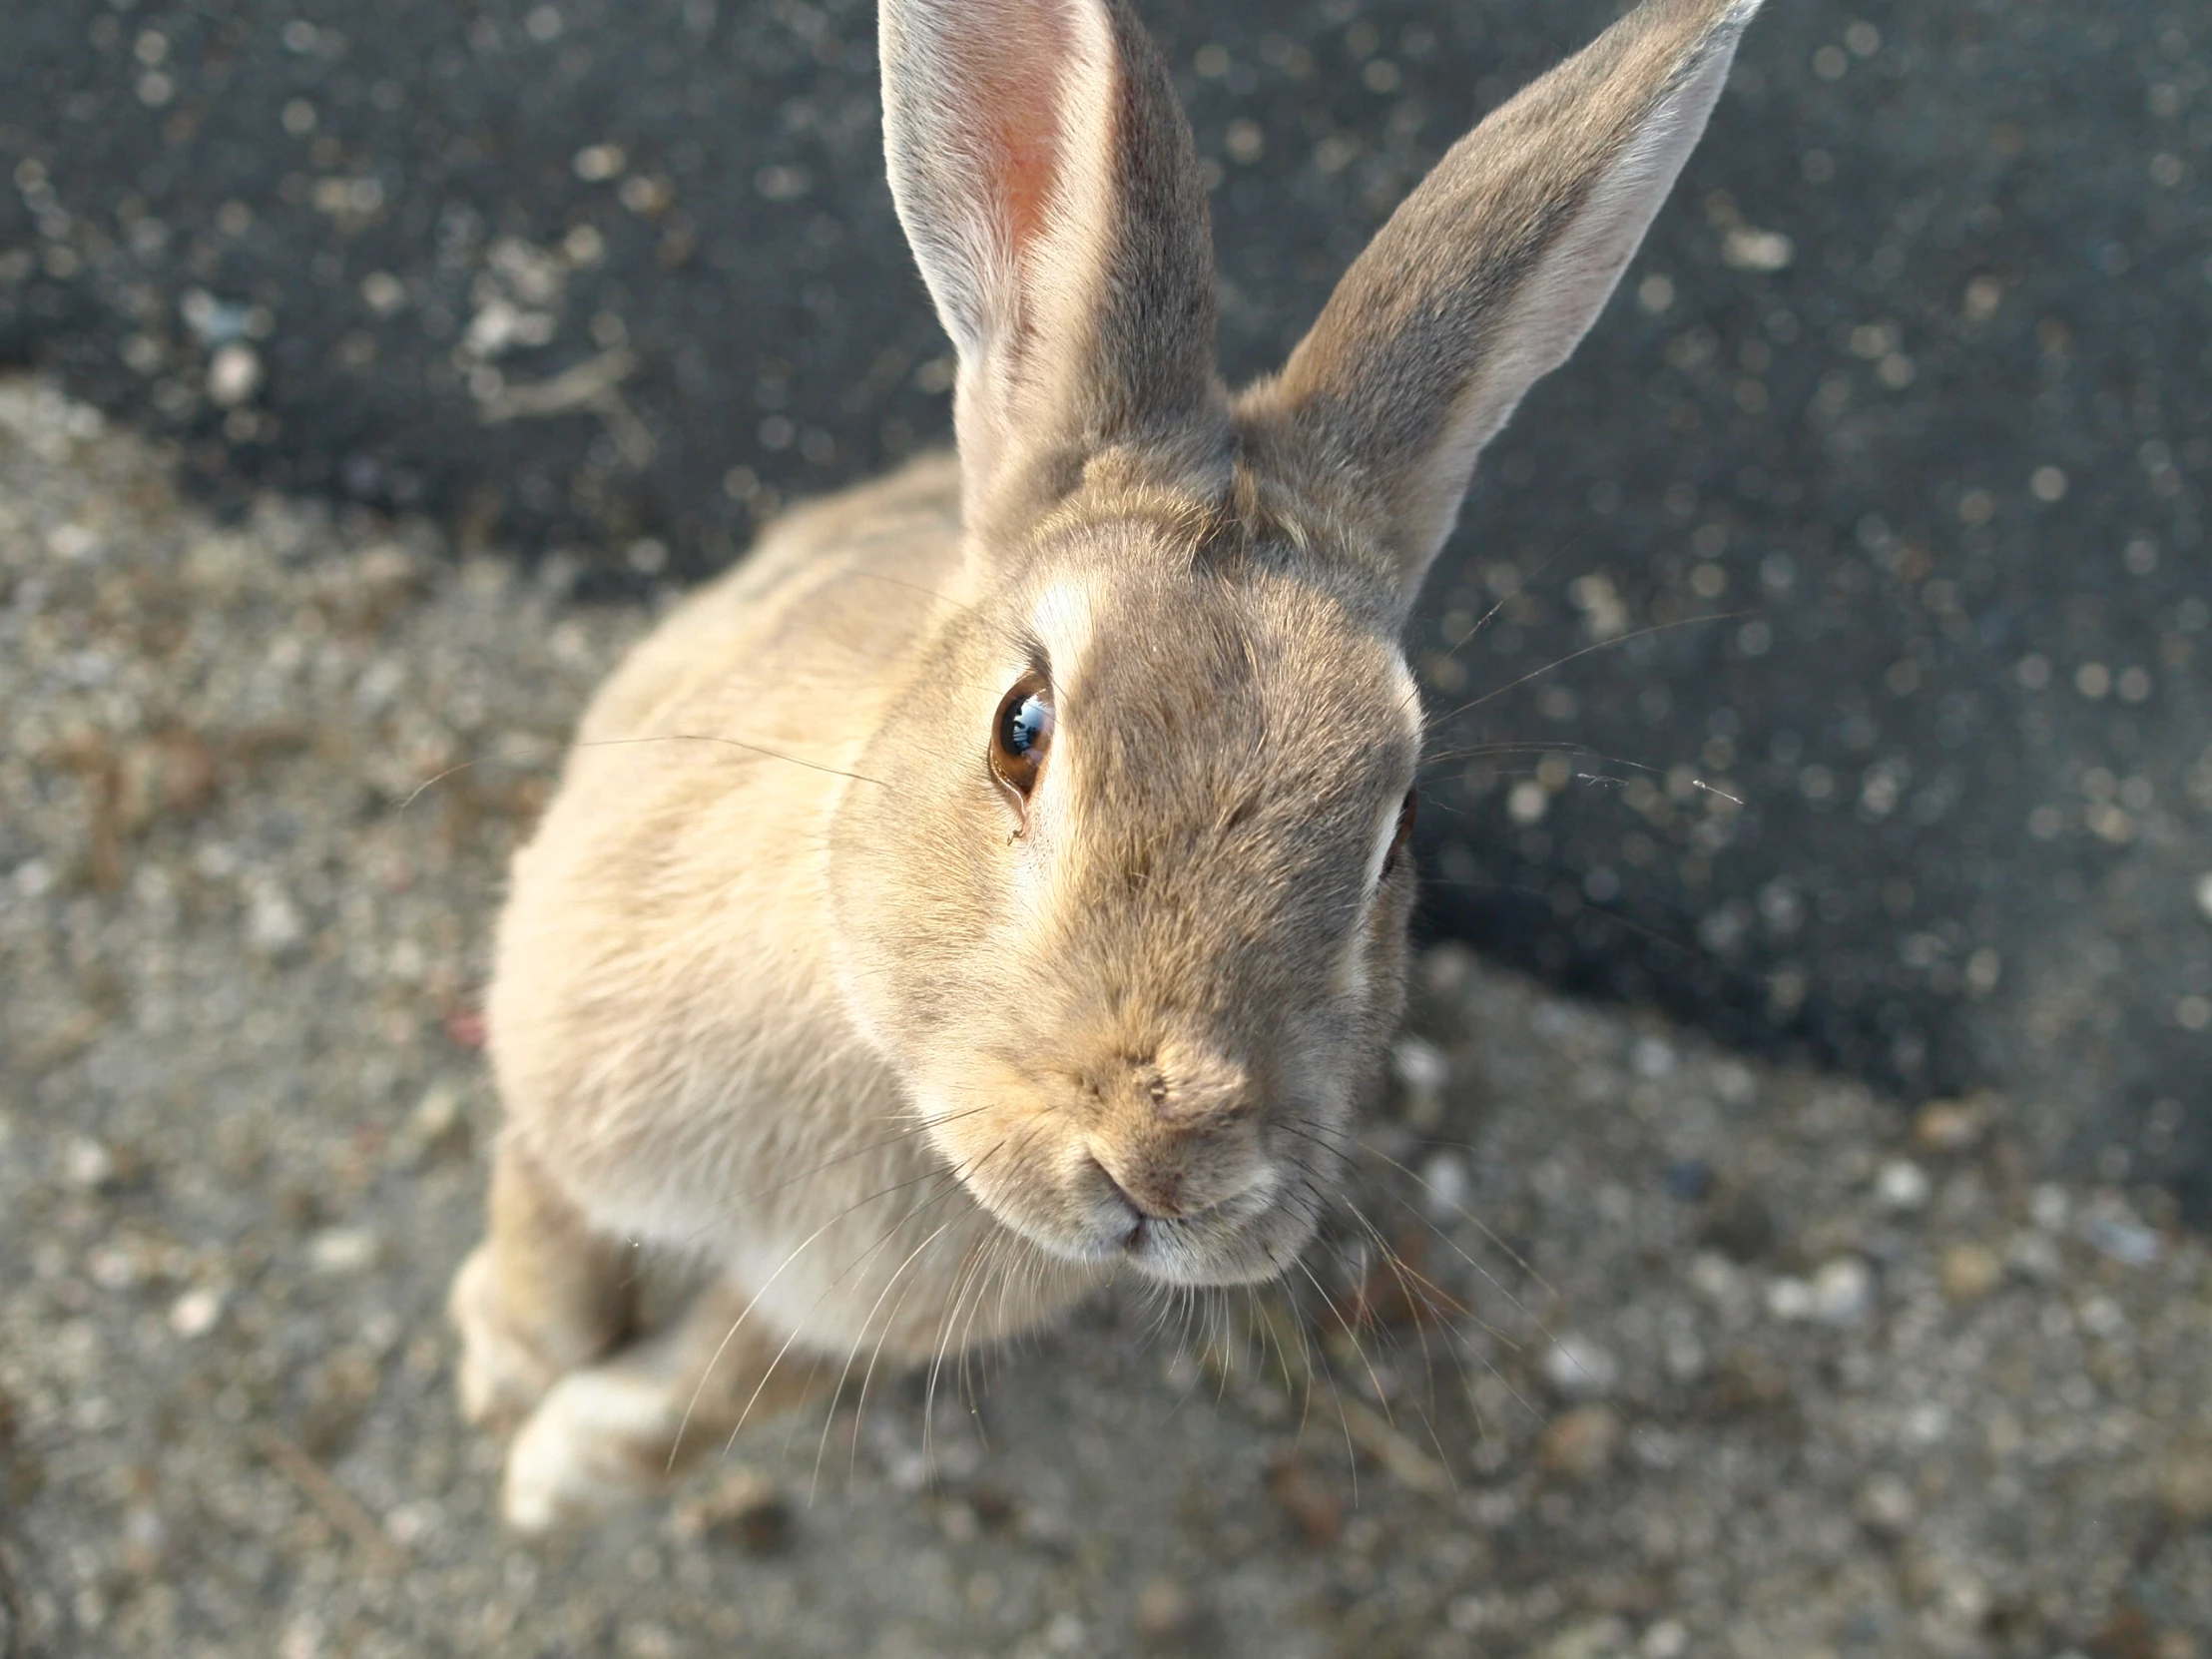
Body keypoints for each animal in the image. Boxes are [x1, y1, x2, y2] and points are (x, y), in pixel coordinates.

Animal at [444, 0, 1760, 1530]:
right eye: (1021, 728)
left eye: (1398, 827)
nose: (1171, 1166)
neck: (891, 1066)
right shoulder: (566, 1079)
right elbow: (546, 1218)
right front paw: (507, 1384)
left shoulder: (839, 1320)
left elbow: (713, 1388)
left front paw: (562, 1473)